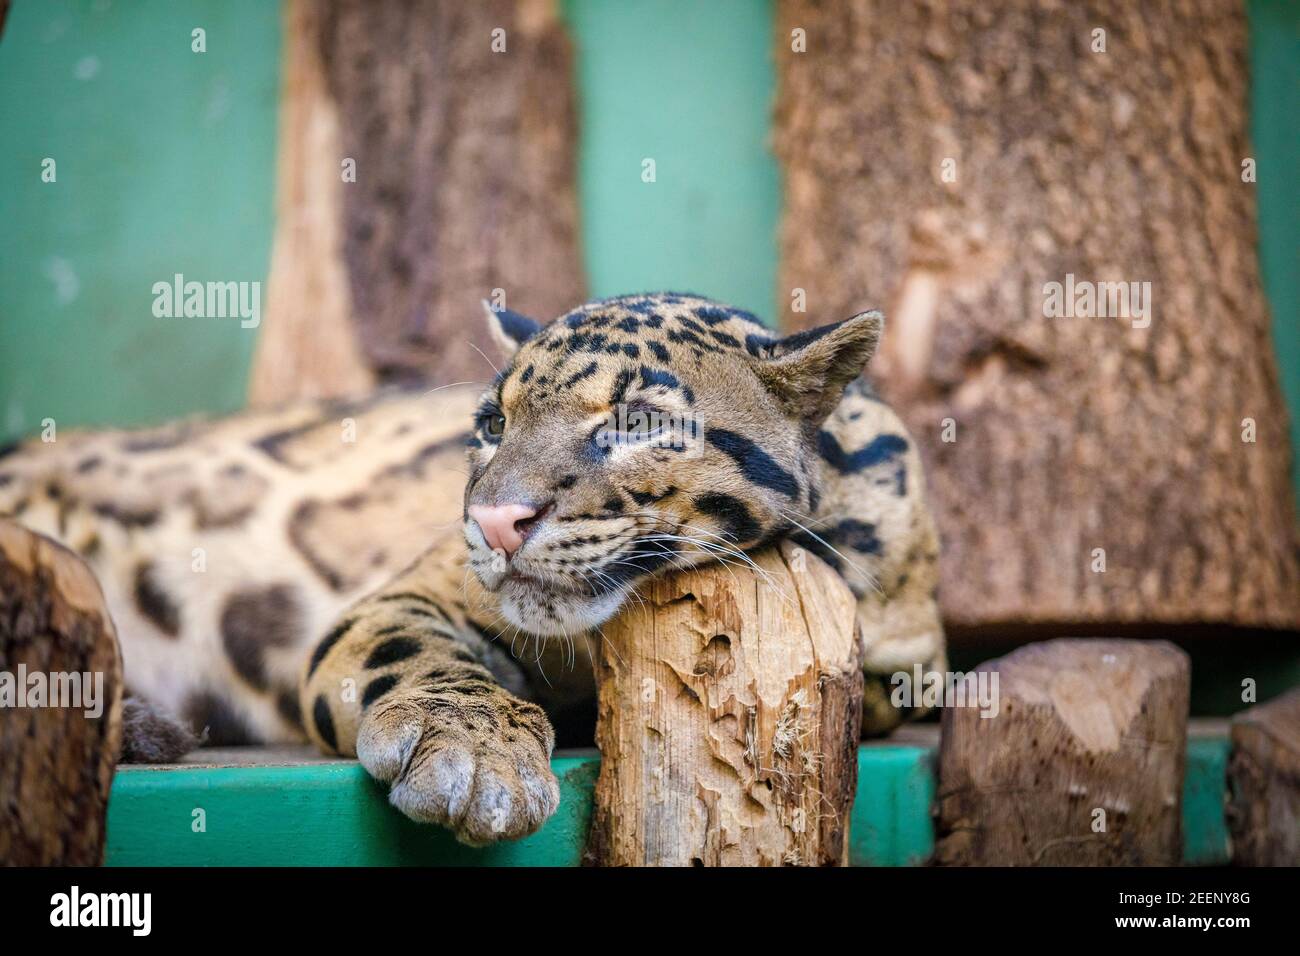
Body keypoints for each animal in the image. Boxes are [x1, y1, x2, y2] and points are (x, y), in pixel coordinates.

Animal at [5, 293, 951, 842]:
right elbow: (412, 652)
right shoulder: (406, 591)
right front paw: (473, 752)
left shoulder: (911, 651)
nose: (495, 519)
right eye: (493, 424)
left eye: (639, 421)